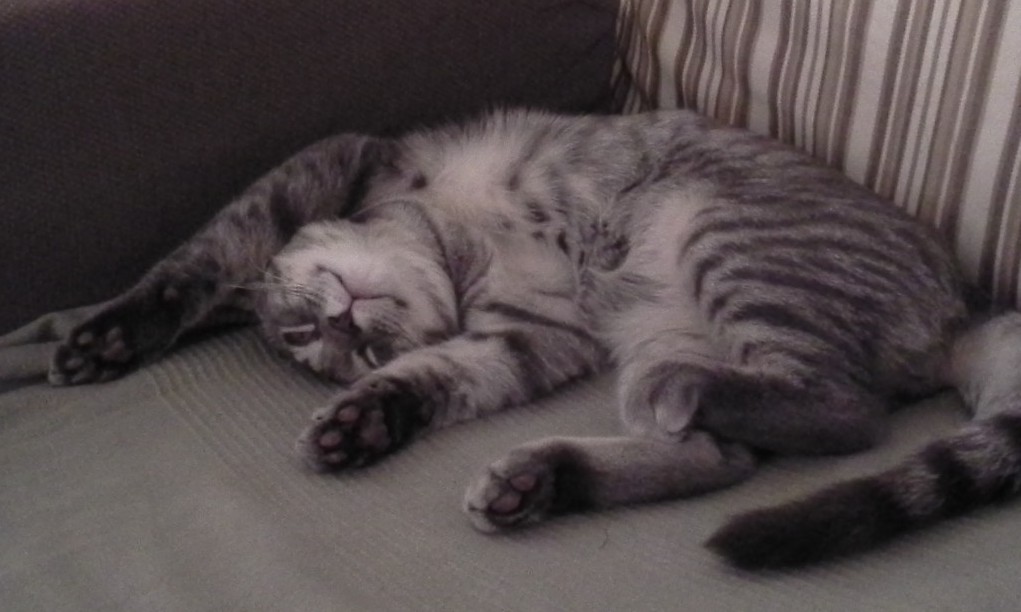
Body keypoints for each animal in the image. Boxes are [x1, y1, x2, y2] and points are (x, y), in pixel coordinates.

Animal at [47, 108, 1021, 568]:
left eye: (302, 328)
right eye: (327, 351)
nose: (339, 331)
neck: (460, 254)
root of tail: (965, 303)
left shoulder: (340, 157)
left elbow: (201, 256)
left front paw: (107, 336)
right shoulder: (523, 344)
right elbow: (437, 375)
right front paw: (363, 422)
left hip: (722, 233)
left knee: (845, 414)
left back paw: (652, 407)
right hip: (676, 320)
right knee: (726, 456)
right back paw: (543, 477)